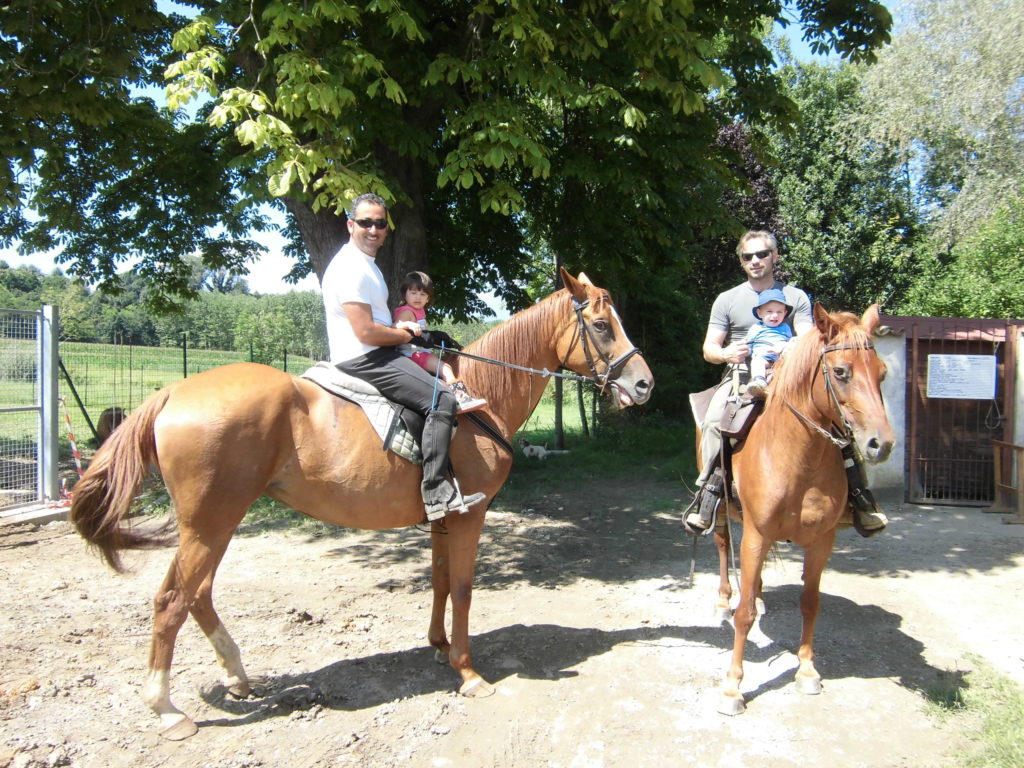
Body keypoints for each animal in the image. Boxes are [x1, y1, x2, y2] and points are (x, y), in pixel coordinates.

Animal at [72, 268, 651, 741]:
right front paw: (467, 672)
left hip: (214, 524)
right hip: (211, 522)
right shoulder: (470, 515)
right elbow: (464, 589)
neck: (481, 396)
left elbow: (441, 581)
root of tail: (173, 393)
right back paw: (166, 709)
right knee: (172, 601)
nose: (644, 383)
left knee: (197, 595)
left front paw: (438, 646)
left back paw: (237, 675)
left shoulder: (443, 517)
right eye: (602, 326)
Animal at [700, 305, 892, 716]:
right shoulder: (755, 535)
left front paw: (806, 670)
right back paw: (723, 601)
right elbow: (743, 615)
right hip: (724, 517)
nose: (880, 444)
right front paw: (733, 688)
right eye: (841, 372)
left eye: (882, 372)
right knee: (723, 548)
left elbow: (810, 603)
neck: (798, 457)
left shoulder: (822, 541)